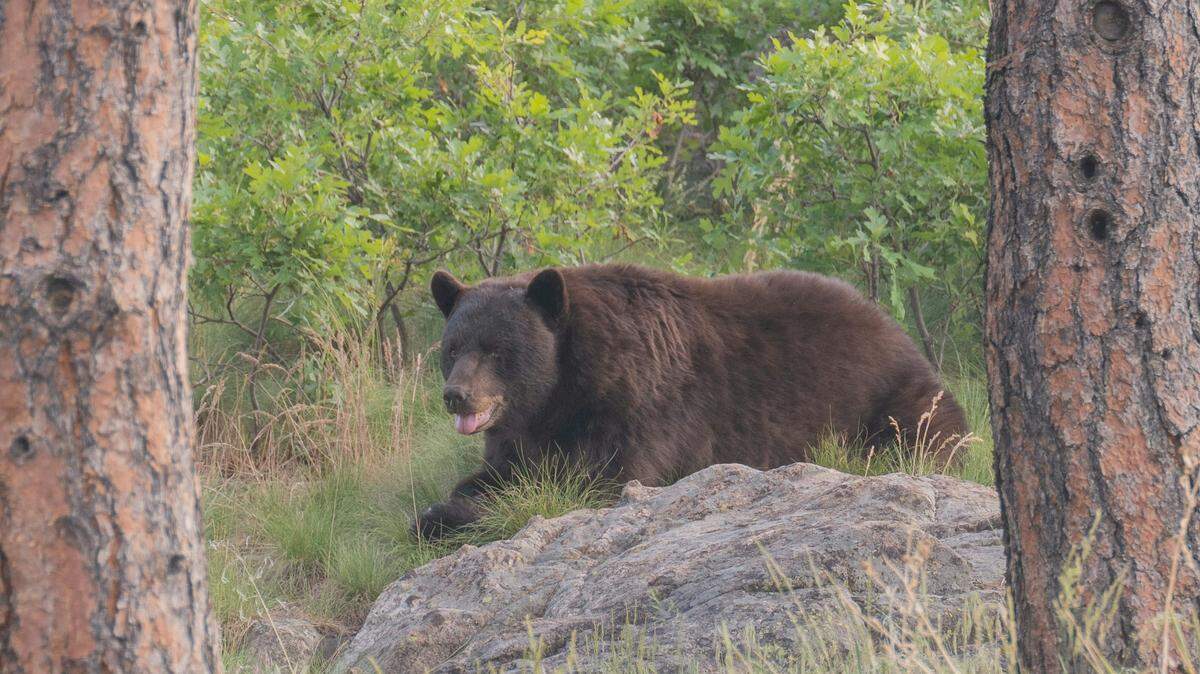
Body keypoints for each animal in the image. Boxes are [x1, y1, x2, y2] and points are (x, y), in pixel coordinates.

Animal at [413, 263, 968, 539]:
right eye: (453, 347)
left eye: (497, 349)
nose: (457, 396)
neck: (561, 391)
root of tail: (895, 329)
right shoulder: (523, 430)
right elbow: (503, 470)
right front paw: (455, 500)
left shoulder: (635, 405)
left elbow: (597, 480)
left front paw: (441, 516)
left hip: (891, 399)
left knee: (923, 434)